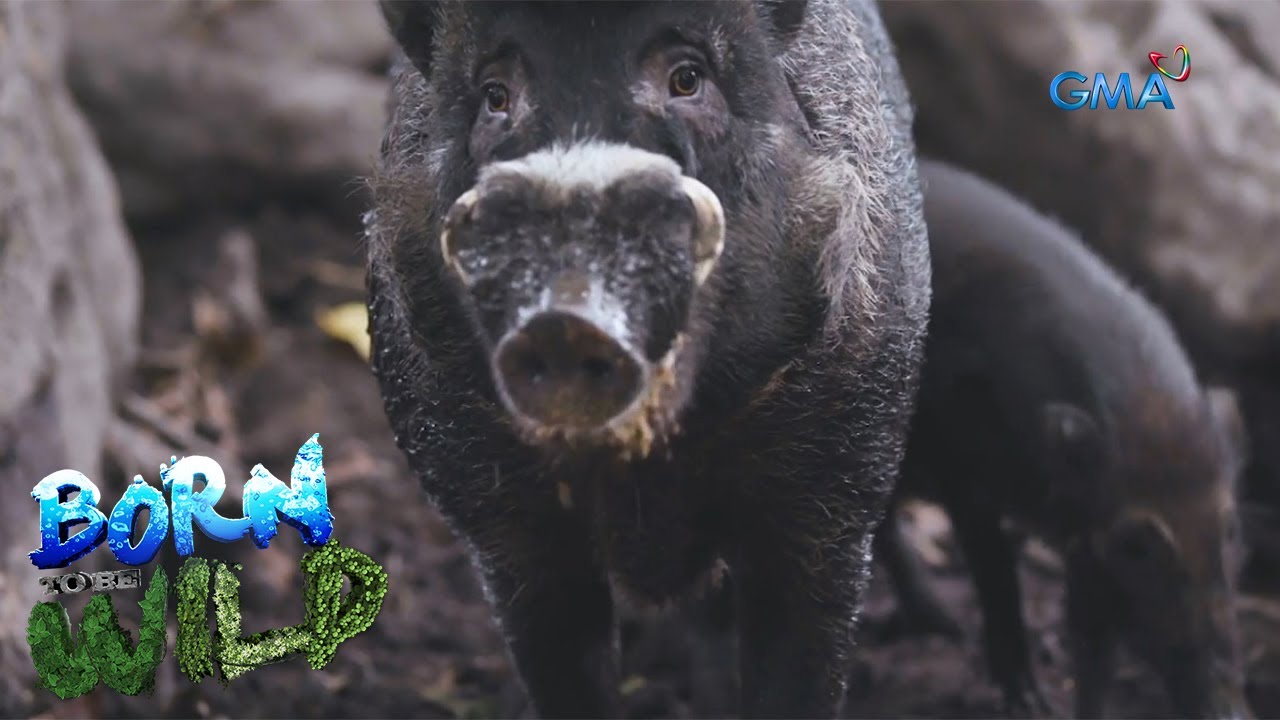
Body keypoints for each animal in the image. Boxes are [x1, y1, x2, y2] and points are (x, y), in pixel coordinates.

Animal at [873, 159, 1250, 719]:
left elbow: (1091, 640)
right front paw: (1031, 704)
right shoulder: (966, 474)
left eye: (1229, 529)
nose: (1229, 709)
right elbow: (999, 577)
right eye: (1134, 545)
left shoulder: (1082, 537)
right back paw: (941, 623)